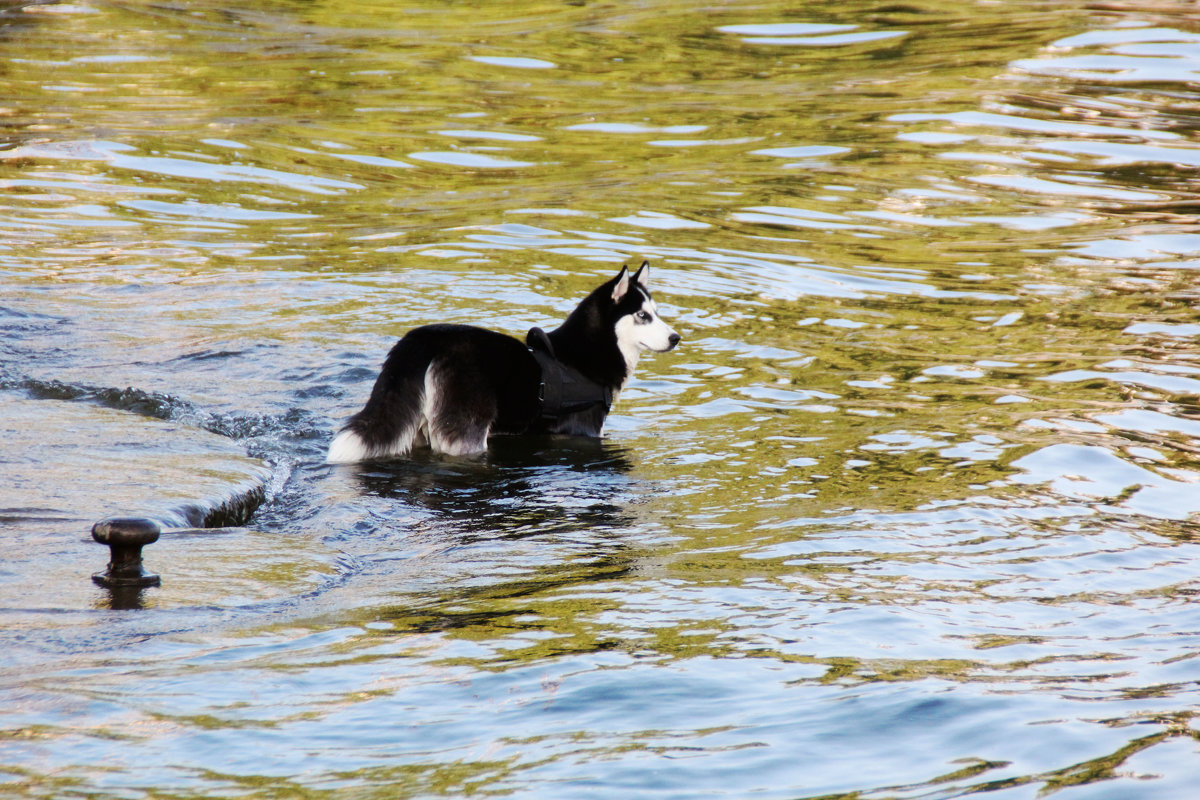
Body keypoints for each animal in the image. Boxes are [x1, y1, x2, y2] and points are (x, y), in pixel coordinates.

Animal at [328, 262, 681, 462]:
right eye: (642, 316)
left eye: (657, 312)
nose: (676, 337)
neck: (584, 355)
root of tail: (424, 339)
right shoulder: (584, 432)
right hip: (467, 433)